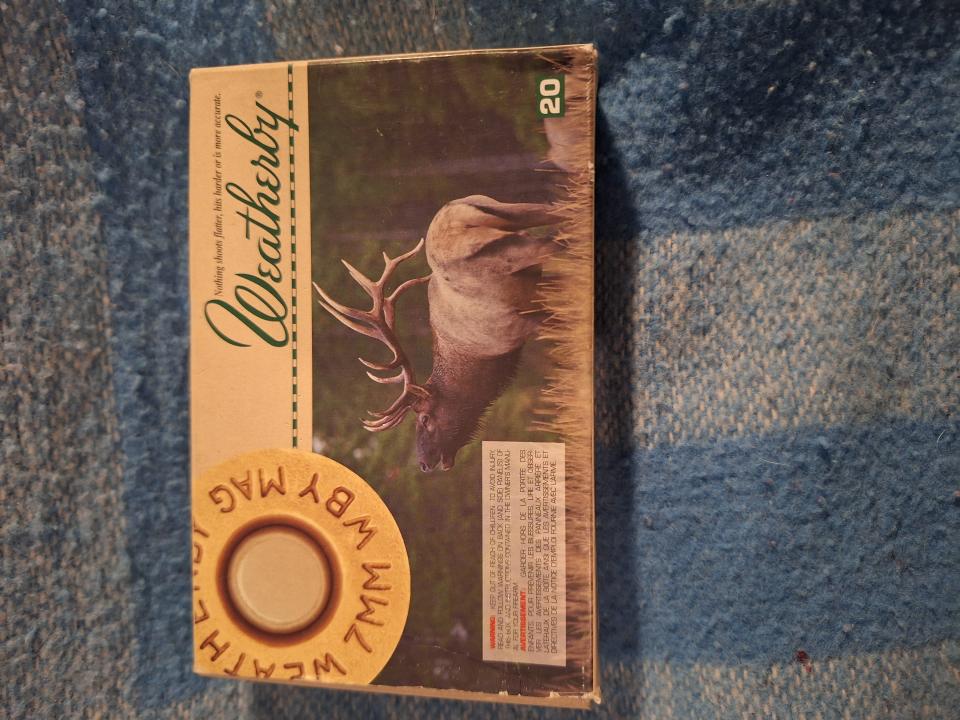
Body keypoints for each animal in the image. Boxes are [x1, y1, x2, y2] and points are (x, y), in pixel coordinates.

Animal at [313, 195, 559, 472]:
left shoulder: (523, 323)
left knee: (551, 241)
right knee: (553, 214)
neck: (483, 360)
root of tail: (453, 213)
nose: (423, 463)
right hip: (512, 213)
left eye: (424, 418)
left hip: (502, 253)